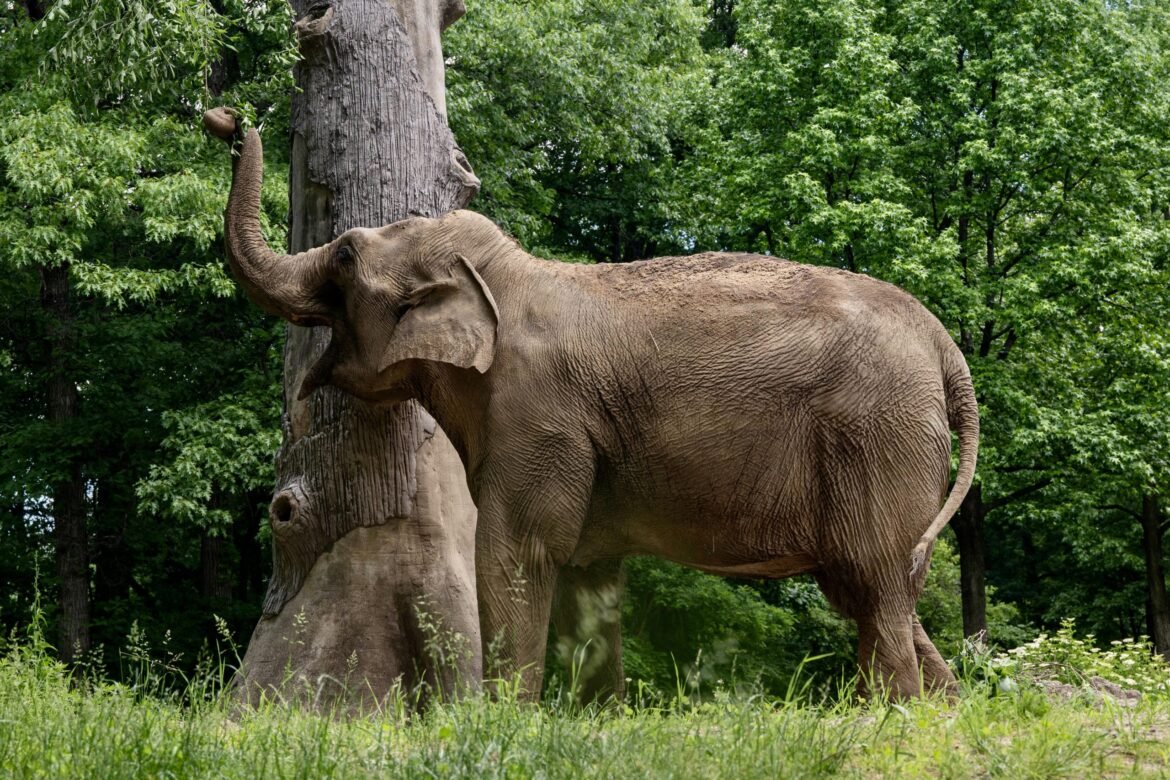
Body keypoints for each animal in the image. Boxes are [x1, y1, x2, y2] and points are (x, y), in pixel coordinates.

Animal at [206, 111, 978, 702]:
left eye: (342, 255)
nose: (227, 119)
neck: (507, 276)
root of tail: (945, 346)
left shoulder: (539, 415)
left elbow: (516, 554)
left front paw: (499, 722)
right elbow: (587, 573)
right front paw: (591, 717)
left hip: (876, 437)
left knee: (876, 585)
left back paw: (894, 720)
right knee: (876, 590)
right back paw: (938, 714)